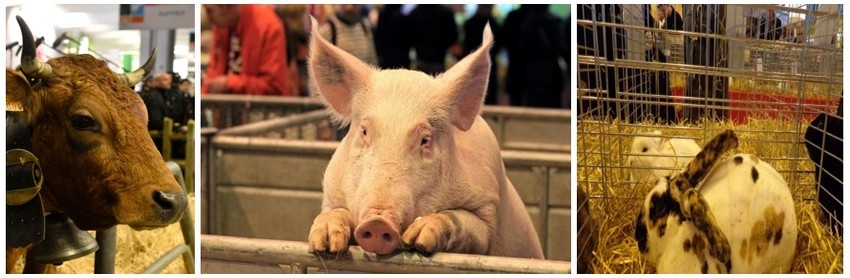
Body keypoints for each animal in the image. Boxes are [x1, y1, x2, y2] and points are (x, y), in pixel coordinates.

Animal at [304, 17, 544, 260]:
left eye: (425, 140)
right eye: (364, 131)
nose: (378, 222)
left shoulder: (488, 205)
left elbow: (467, 224)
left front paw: (418, 238)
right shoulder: (332, 193)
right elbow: (335, 212)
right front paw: (324, 245)